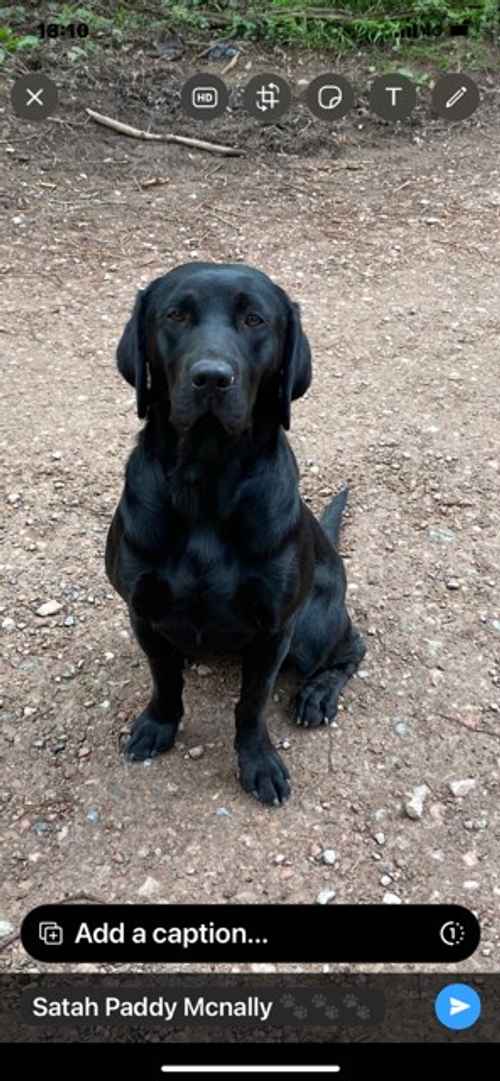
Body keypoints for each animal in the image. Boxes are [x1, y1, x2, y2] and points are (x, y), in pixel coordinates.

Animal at [105, 261, 365, 804]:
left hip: (311, 630)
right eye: (176, 315)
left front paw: (259, 763)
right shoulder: (143, 611)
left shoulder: (275, 629)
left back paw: (318, 693)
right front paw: (158, 726)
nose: (211, 377)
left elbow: (251, 704)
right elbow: (164, 681)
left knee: (353, 646)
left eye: (254, 320)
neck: (206, 479)